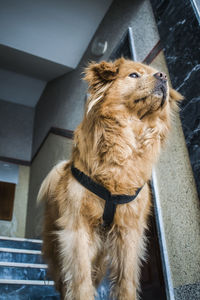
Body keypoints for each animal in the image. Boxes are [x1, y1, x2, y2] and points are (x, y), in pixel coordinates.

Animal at [38, 57, 183, 298]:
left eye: (157, 73)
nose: (163, 76)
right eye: (134, 75)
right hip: (58, 249)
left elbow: (126, 280)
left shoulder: (129, 232)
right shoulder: (77, 229)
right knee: (64, 281)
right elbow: (80, 281)